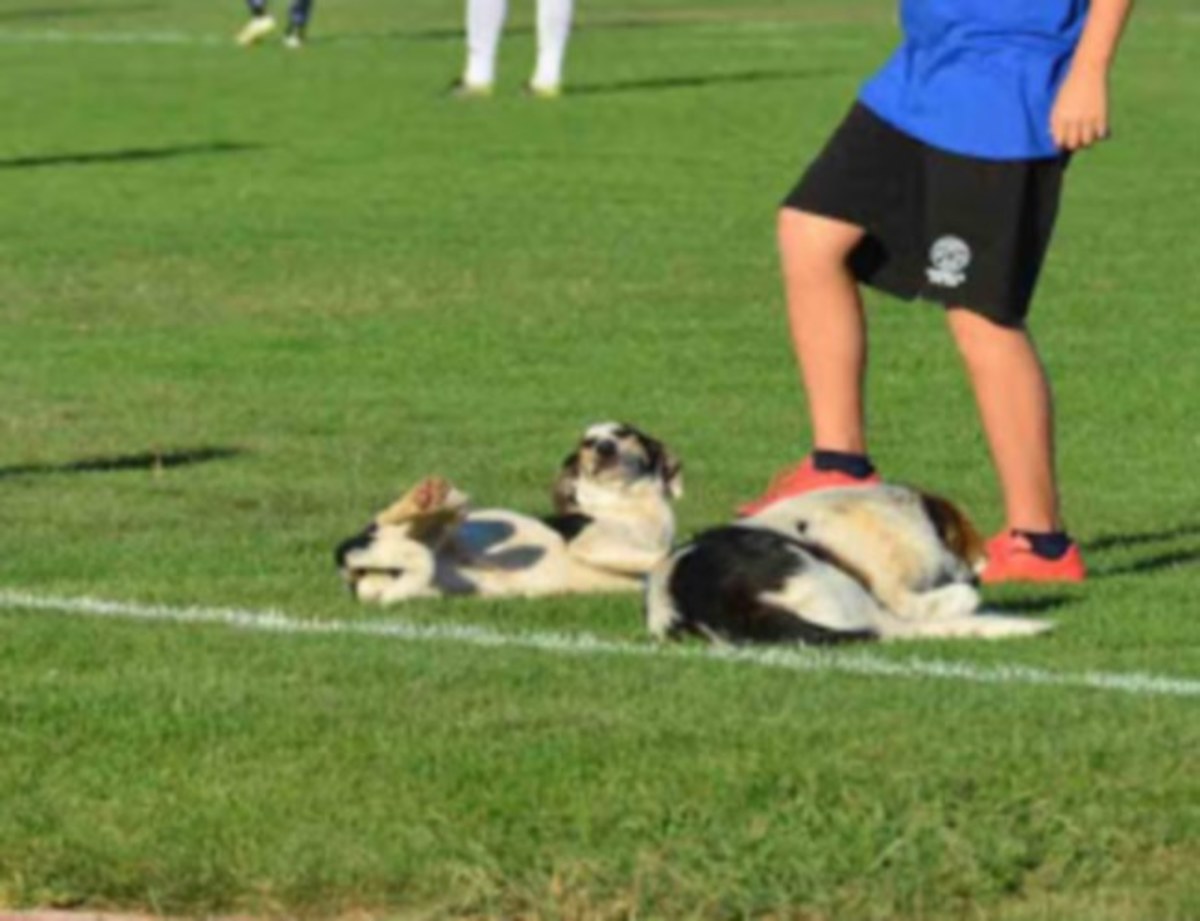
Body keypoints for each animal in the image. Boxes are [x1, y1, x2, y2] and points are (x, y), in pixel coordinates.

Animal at [336, 424, 686, 604]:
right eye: (587, 442)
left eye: (624, 433)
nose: (604, 447)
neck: (625, 504)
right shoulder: (589, 542)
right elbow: (661, 554)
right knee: (384, 519)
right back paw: (425, 498)